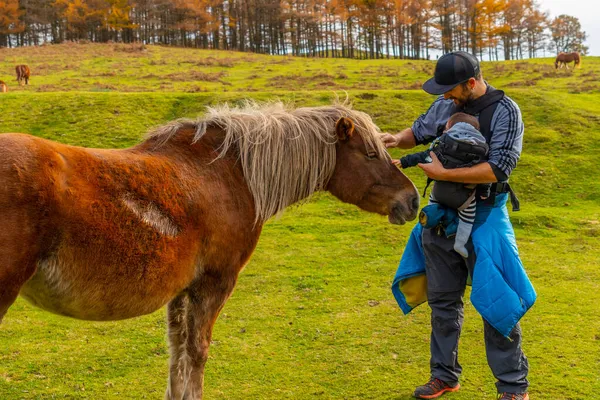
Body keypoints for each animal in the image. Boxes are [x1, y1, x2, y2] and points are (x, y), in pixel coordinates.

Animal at [0, 101, 420, 398]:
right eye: (370, 155)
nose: (412, 200)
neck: (228, 173)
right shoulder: (215, 283)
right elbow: (197, 350)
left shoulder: (181, 290)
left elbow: (177, 350)